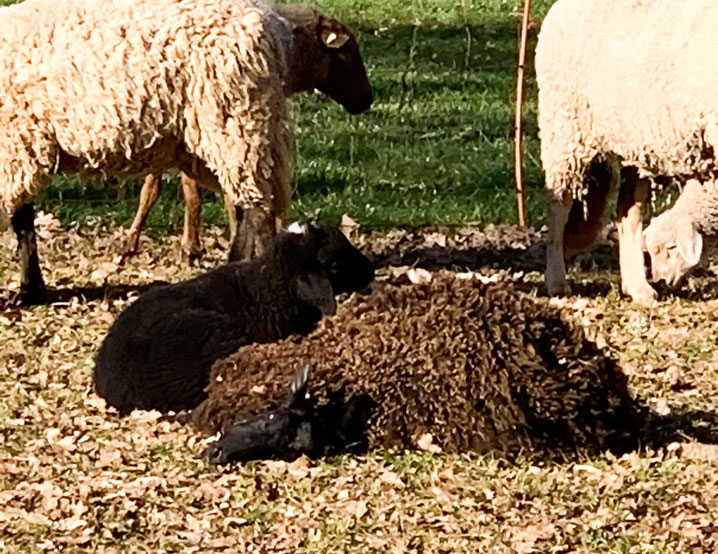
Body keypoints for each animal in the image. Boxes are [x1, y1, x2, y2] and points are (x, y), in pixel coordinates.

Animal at [0, 0, 372, 304]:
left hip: (234, 123)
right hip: (226, 133)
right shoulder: (18, 149)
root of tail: (266, 26)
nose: (366, 100)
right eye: (348, 49)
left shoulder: (15, 150)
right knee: (246, 206)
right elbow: (23, 220)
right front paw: (30, 290)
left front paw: (25, 291)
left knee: (255, 209)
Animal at [536, 0, 718, 306]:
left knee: (627, 212)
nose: (662, 279)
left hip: (636, 143)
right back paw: (557, 281)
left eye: (669, 249)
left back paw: (638, 288)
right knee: (558, 206)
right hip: (565, 126)